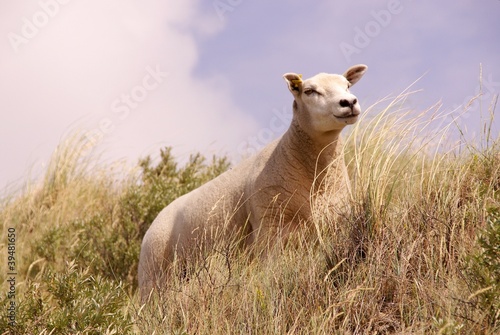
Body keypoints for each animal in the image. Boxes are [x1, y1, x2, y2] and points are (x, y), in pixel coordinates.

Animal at [137, 64, 368, 300]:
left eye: (347, 85)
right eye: (309, 91)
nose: (349, 102)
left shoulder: (333, 223)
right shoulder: (268, 227)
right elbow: (270, 272)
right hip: (152, 275)